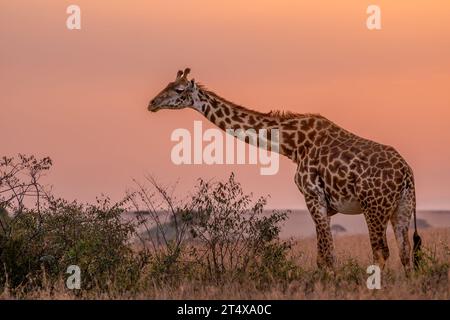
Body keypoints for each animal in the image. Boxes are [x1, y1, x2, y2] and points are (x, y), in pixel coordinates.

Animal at [148, 68, 422, 272]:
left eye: (179, 90)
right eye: (168, 84)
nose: (152, 103)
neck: (292, 144)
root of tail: (407, 174)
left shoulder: (314, 197)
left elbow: (326, 256)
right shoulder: (324, 205)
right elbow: (325, 255)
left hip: (374, 208)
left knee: (381, 252)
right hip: (401, 208)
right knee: (405, 253)